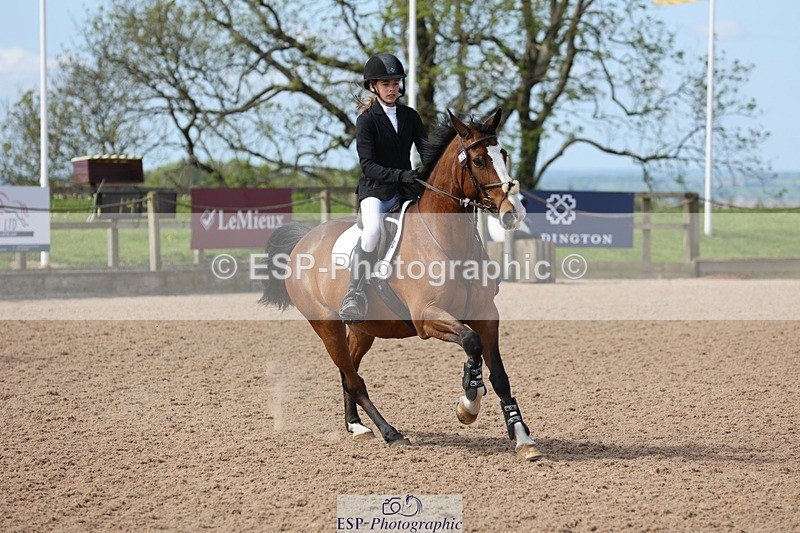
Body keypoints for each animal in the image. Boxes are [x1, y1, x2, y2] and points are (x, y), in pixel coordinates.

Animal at [259, 108, 542, 461]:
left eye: (503, 154)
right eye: (477, 160)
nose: (513, 213)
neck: (448, 239)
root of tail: (303, 241)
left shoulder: (486, 315)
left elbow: (500, 375)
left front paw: (522, 438)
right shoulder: (427, 317)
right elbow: (471, 342)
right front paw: (468, 405)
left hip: (363, 330)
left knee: (348, 372)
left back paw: (357, 427)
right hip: (326, 326)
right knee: (354, 379)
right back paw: (390, 433)